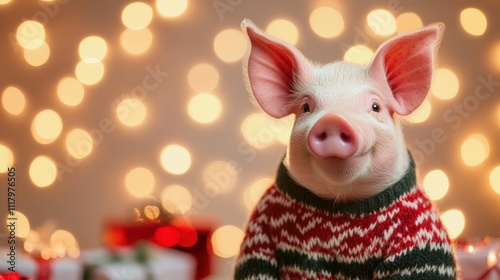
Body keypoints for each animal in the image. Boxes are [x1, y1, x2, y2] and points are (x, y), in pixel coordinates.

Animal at [236, 19, 458, 280]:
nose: (333, 120)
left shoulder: (421, 240)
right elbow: (256, 265)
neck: (341, 204)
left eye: (375, 106)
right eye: (306, 107)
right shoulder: (259, 228)